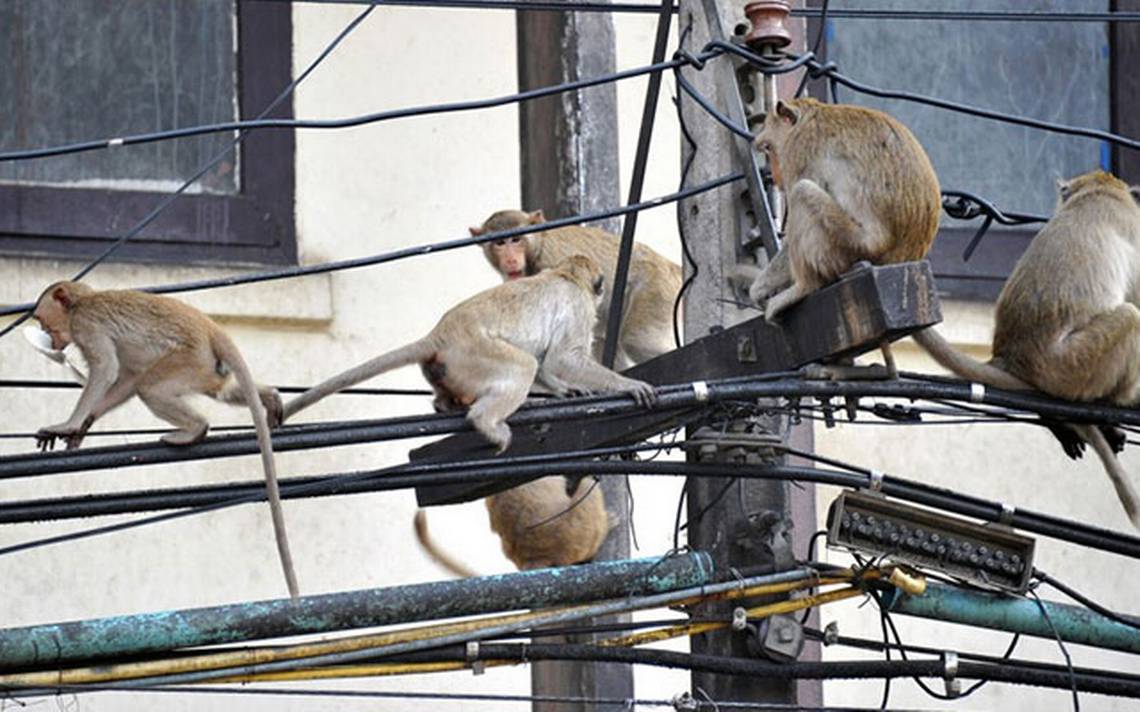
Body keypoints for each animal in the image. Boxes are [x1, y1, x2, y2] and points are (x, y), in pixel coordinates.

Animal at [31, 282, 300, 598]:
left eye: (41, 320)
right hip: (206, 367)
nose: (46, 334)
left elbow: (107, 371)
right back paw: (269, 398)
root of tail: (209, 327)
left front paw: (69, 424)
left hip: (190, 359)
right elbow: (125, 379)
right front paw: (83, 426)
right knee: (216, 390)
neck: (81, 303)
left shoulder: (86, 325)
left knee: (150, 387)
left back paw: (196, 428)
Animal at [282, 255, 657, 451]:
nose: (602, 291)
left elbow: (549, 363)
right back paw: (486, 421)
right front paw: (627, 385)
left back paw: (447, 405)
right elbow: (560, 358)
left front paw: (564, 390)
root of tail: (439, 335)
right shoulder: (577, 307)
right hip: (477, 355)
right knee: (522, 365)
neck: (567, 275)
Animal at [471, 210, 683, 368]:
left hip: (656, 286)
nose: (510, 260)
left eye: (515, 239)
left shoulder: (552, 263)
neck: (536, 248)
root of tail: (669, 265)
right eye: (500, 243)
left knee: (636, 340)